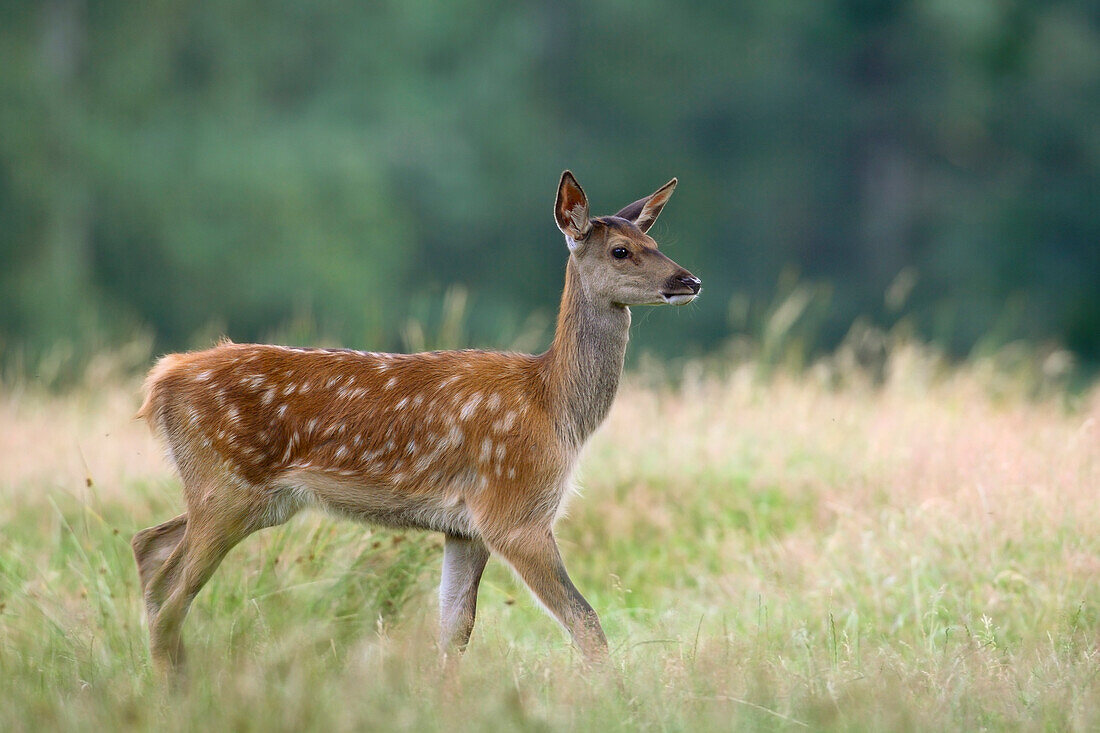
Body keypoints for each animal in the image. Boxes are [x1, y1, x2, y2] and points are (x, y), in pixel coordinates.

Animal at [133, 168, 699, 669]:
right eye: (621, 250)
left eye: (654, 241)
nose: (689, 279)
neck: (554, 407)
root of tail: (160, 380)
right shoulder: (513, 508)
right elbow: (585, 622)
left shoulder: (466, 528)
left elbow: (455, 631)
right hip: (227, 483)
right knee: (171, 591)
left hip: (247, 496)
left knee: (148, 547)